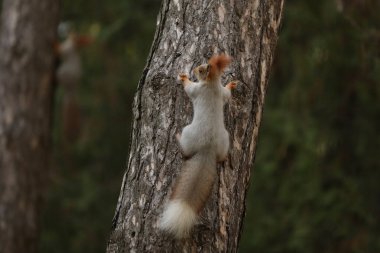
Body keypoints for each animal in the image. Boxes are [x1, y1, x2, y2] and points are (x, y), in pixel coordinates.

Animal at [160, 54, 238, 238]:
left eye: (201, 70)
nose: (194, 69)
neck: (212, 83)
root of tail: (207, 148)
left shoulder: (197, 90)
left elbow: (189, 89)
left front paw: (184, 79)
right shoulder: (222, 93)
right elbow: (227, 94)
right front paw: (231, 84)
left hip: (188, 132)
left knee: (186, 149)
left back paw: (178, 137)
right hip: (225, 140)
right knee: (221, 156)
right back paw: (224, 158)